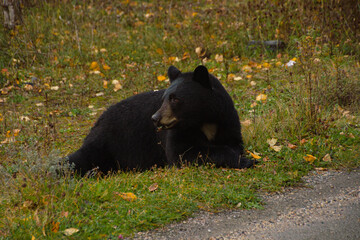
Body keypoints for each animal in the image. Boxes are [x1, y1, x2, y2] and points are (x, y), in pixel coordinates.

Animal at [67, 65, 253, 174]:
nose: (155, 118)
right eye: (164, 98)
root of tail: (97, 121)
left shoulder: (227, 119)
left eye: (175, 98)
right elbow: (181, 152)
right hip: (107, 141)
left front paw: (241, 156)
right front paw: (245, 160)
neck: (204, 119)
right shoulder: (178, 132)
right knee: (79, 159)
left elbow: (234, 142)